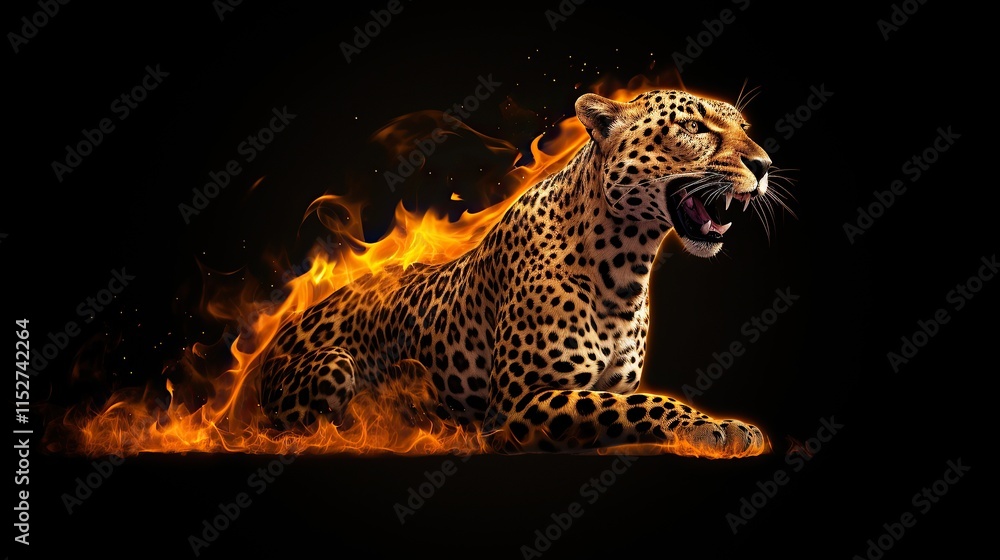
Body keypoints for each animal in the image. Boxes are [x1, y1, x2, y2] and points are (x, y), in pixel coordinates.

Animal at [258, 89, 782, 457]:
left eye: (744, 127)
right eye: (694, 126)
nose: (764, 164)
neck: (624, 269)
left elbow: (623, 404)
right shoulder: (516, 403)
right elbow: (637, 404)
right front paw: (713, 427)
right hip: (332, 363)